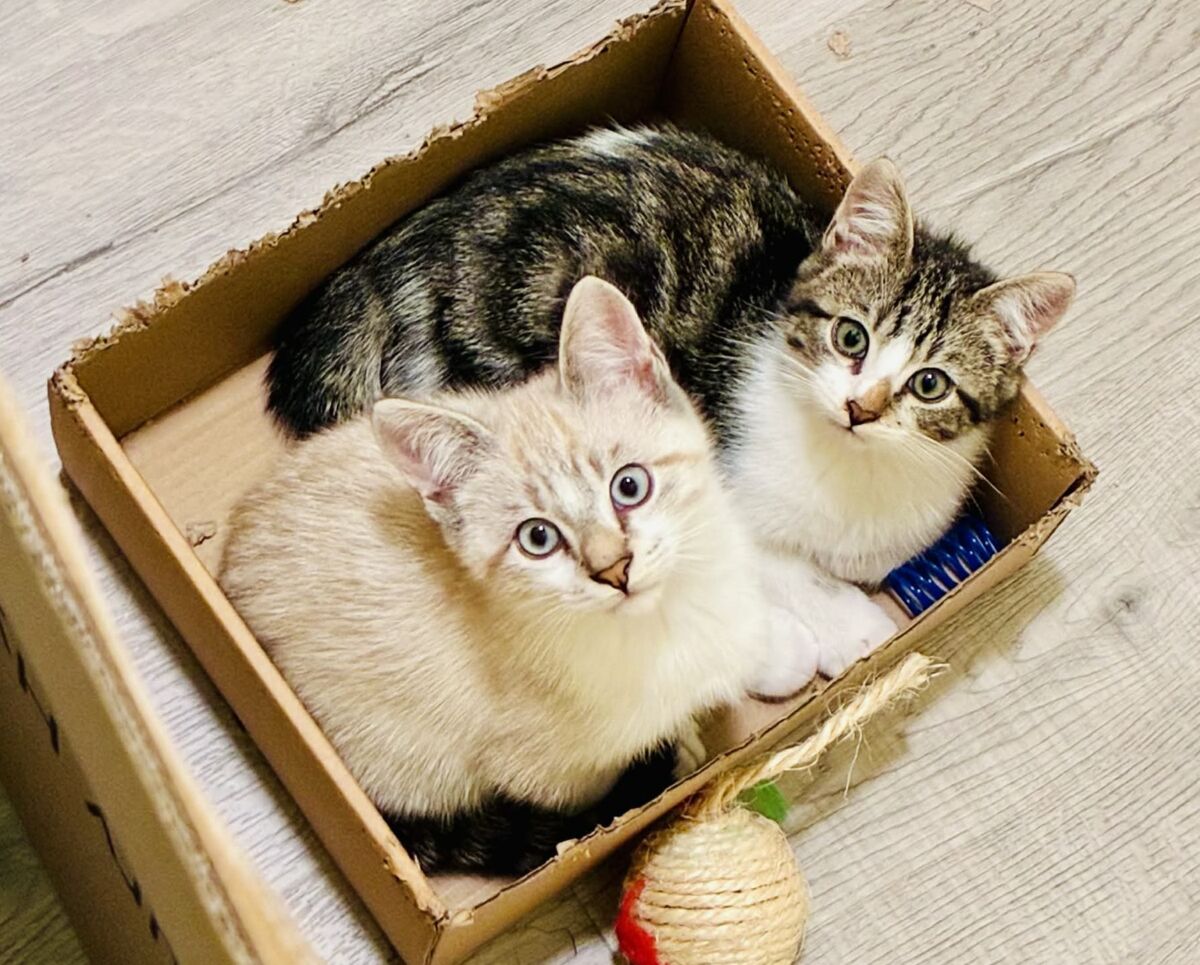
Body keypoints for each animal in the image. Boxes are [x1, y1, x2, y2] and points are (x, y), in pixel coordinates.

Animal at [220, 276, 769, 874]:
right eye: (537, 538)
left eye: (629, 485)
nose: (613, 568)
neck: (666, 622)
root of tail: (229, 558)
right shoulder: (544, 771)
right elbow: (584, 789)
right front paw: (669, 760)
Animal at [266, 124, 1074, 690]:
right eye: (852, 336)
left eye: (930, 384)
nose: (862, 408)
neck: (851, 475)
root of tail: (381, 264)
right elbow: (773, 570)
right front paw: (848, 630)